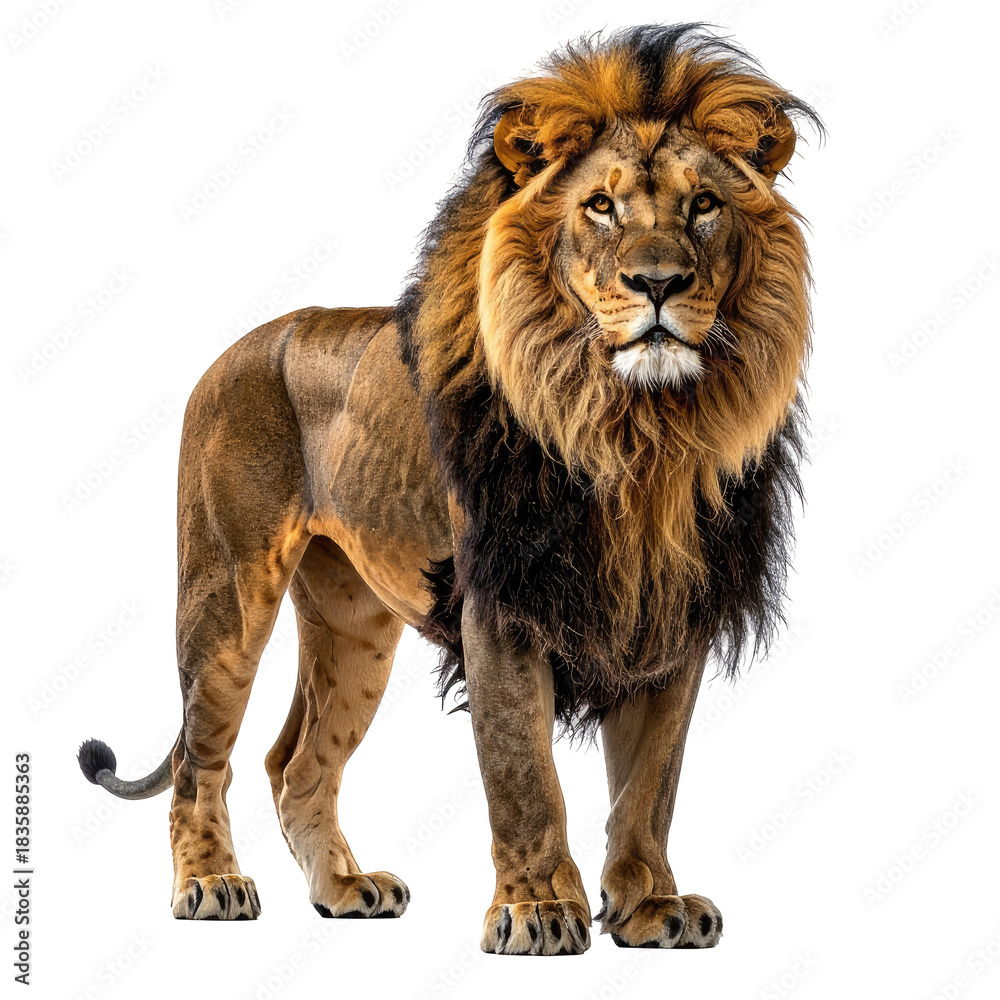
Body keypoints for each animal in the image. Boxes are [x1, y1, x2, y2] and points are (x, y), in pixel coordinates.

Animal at [77, 24, 820, 954]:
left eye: (705, 206)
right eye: (600, 207)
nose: (658, 284)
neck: (637, 432)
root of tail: (236, 347)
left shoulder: (671, 615)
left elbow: (650, 785)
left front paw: (651, 906)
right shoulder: (499, 604)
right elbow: (524, 774)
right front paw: (537, 911)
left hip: (354, 624)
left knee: (296, 761)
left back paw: (345, 888)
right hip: (224, 593)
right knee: (198, 758)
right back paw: (210, 883)